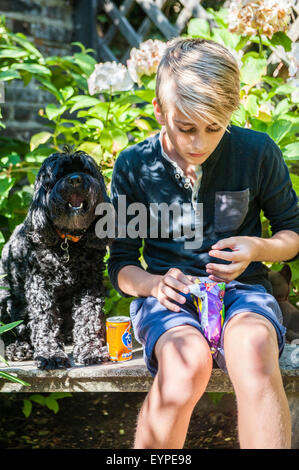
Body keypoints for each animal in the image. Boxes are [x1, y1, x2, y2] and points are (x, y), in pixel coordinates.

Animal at [0, 149, 112, 370]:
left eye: (85, 169)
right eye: (59, 173)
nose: (75, 179)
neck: (68, 241)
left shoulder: (90, 283)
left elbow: (89, 316)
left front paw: (90, 351)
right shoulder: (40, 285)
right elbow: (45, 321)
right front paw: (50, 356)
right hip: (5, 297)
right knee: (11, 330)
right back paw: (18, 348)